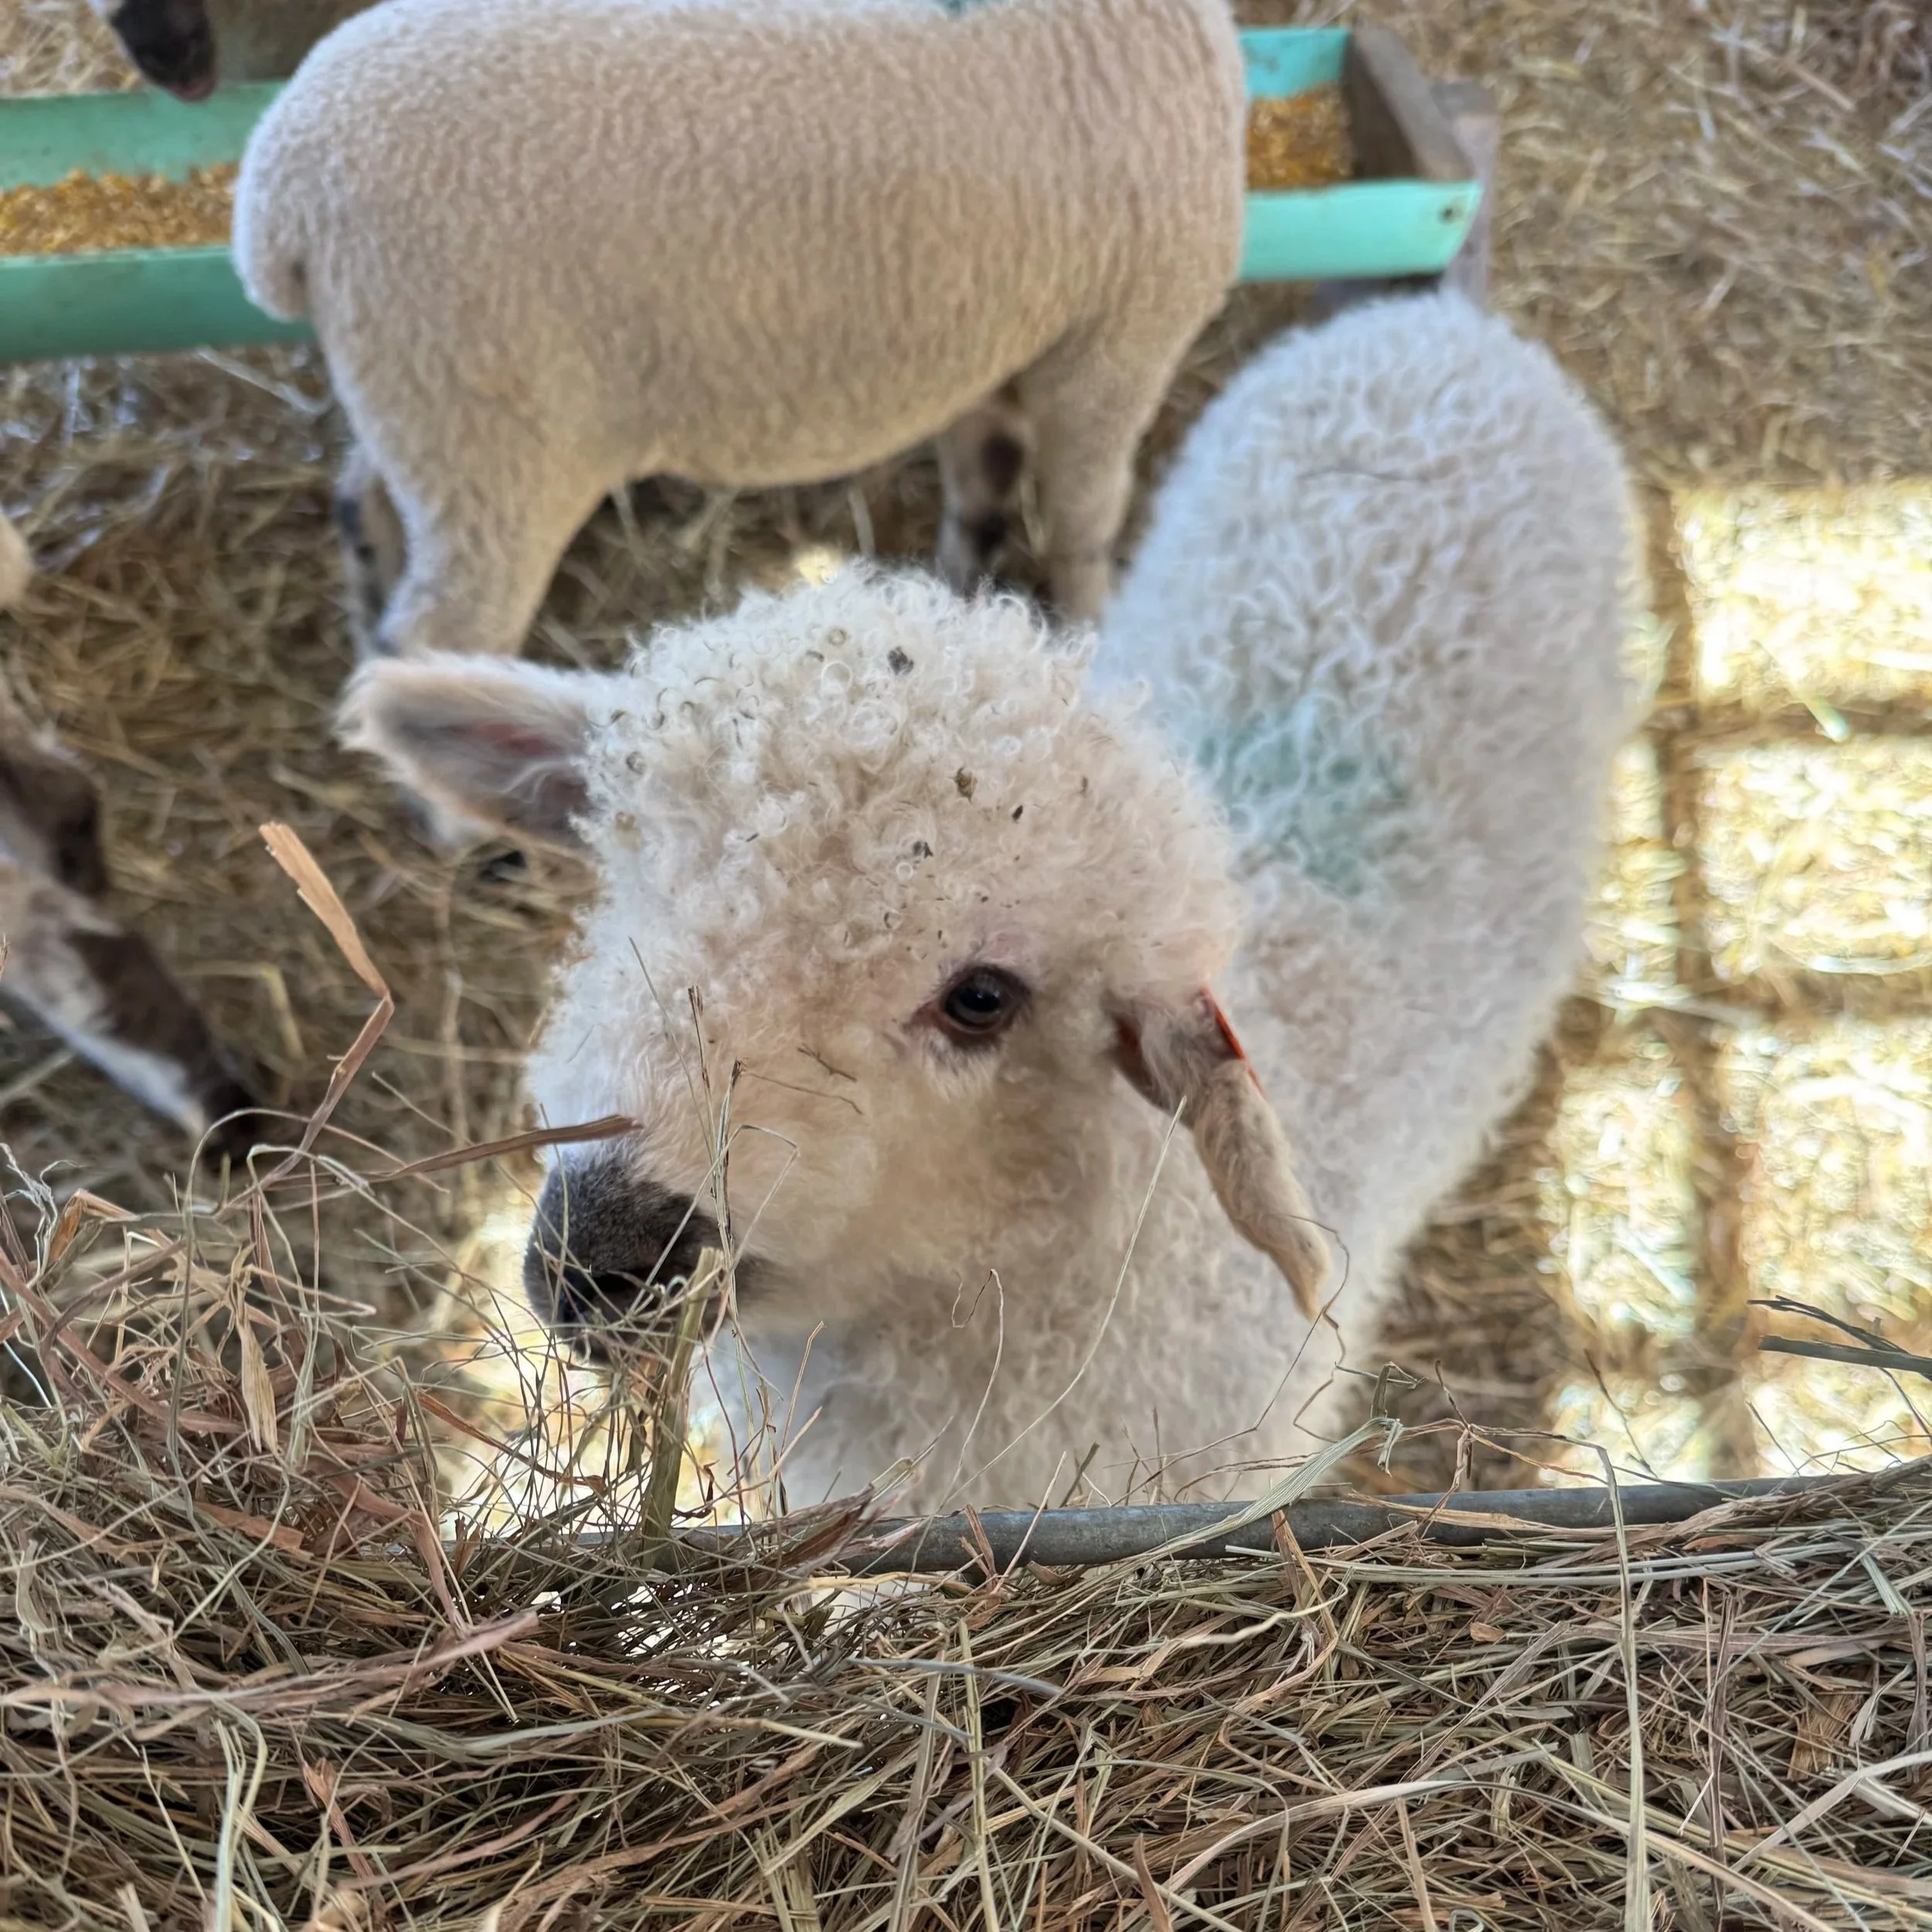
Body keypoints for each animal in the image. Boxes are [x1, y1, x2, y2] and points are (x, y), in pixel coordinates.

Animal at [231, 0, 1249, 668]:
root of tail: (280, 200)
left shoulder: (1003, 341)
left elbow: (983, 487)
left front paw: (964, 592)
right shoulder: (1119, 341)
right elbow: (1086, 515)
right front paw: (1094, 626)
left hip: (413, 392)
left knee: (363, 511)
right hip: (492, 440)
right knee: (445, 628)